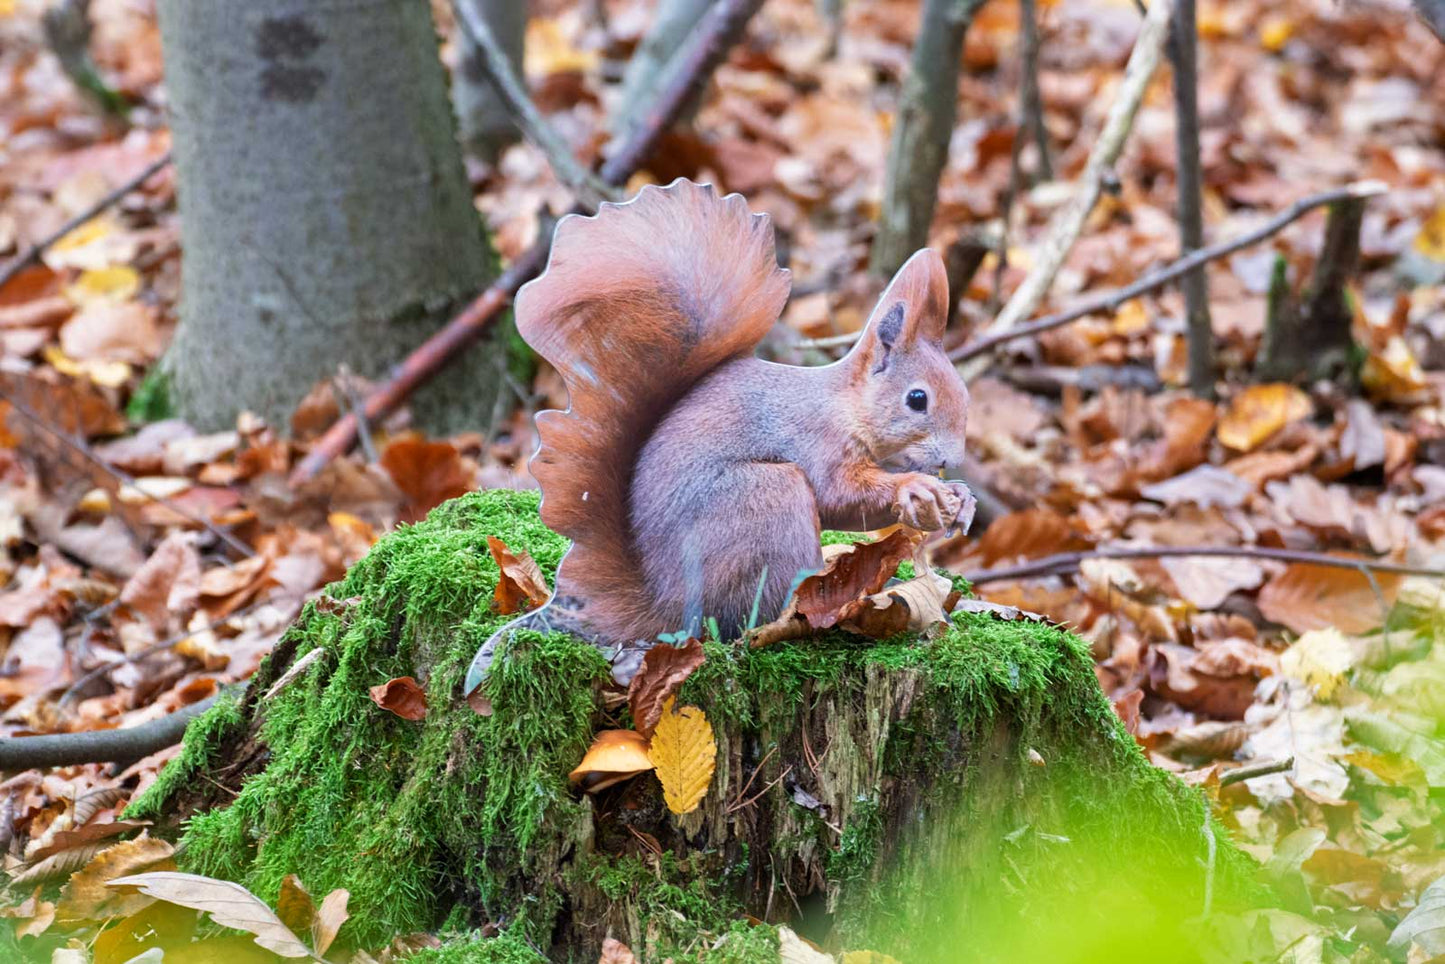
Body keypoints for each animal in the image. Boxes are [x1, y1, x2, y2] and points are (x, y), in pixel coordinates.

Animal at [468, 180, 976, 693]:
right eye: (917, 399)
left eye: (964, 390)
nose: (952, 459)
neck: (843, 405)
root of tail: (666, 605)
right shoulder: (816, 440)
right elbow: (839, 494)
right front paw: (916, 488)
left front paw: (959, 498)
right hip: (766, 500)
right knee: (755, 619)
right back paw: (834, 605)